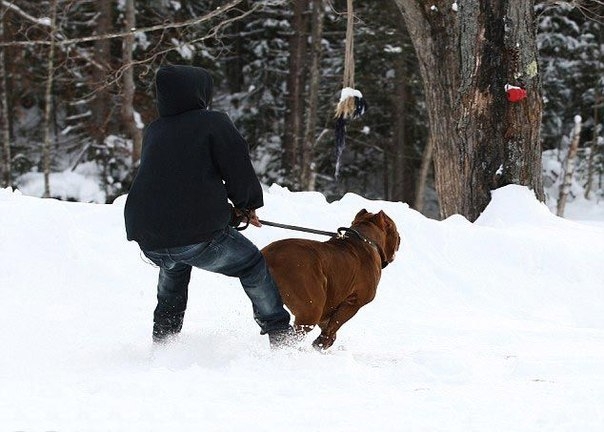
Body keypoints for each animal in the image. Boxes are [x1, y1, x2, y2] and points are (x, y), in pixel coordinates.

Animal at [260, 210, 398, 352]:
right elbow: (336, 323)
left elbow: (328, 324)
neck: (365, 239)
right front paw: (322, 343)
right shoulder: (353, 303)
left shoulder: (329, 304)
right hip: (310, 309)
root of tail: (270, 255)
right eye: (394, 230)